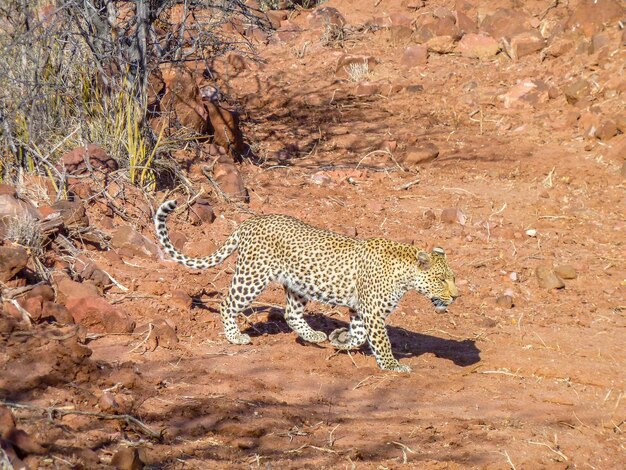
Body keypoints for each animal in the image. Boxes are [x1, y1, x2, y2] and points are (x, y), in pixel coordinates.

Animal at [155, 200, 458, 372]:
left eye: (452, 278)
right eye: (441, 279)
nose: (456, 296)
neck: (405, 271)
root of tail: (250, 221)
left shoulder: (361, 310)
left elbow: (360, 334)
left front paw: (340, 340)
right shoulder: (372, 311)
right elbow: (380, 341)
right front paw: (393, 366)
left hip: (297, 285)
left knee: (291, 313)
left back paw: (314, 336)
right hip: (253, 276)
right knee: (227, 303)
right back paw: (235, 337)